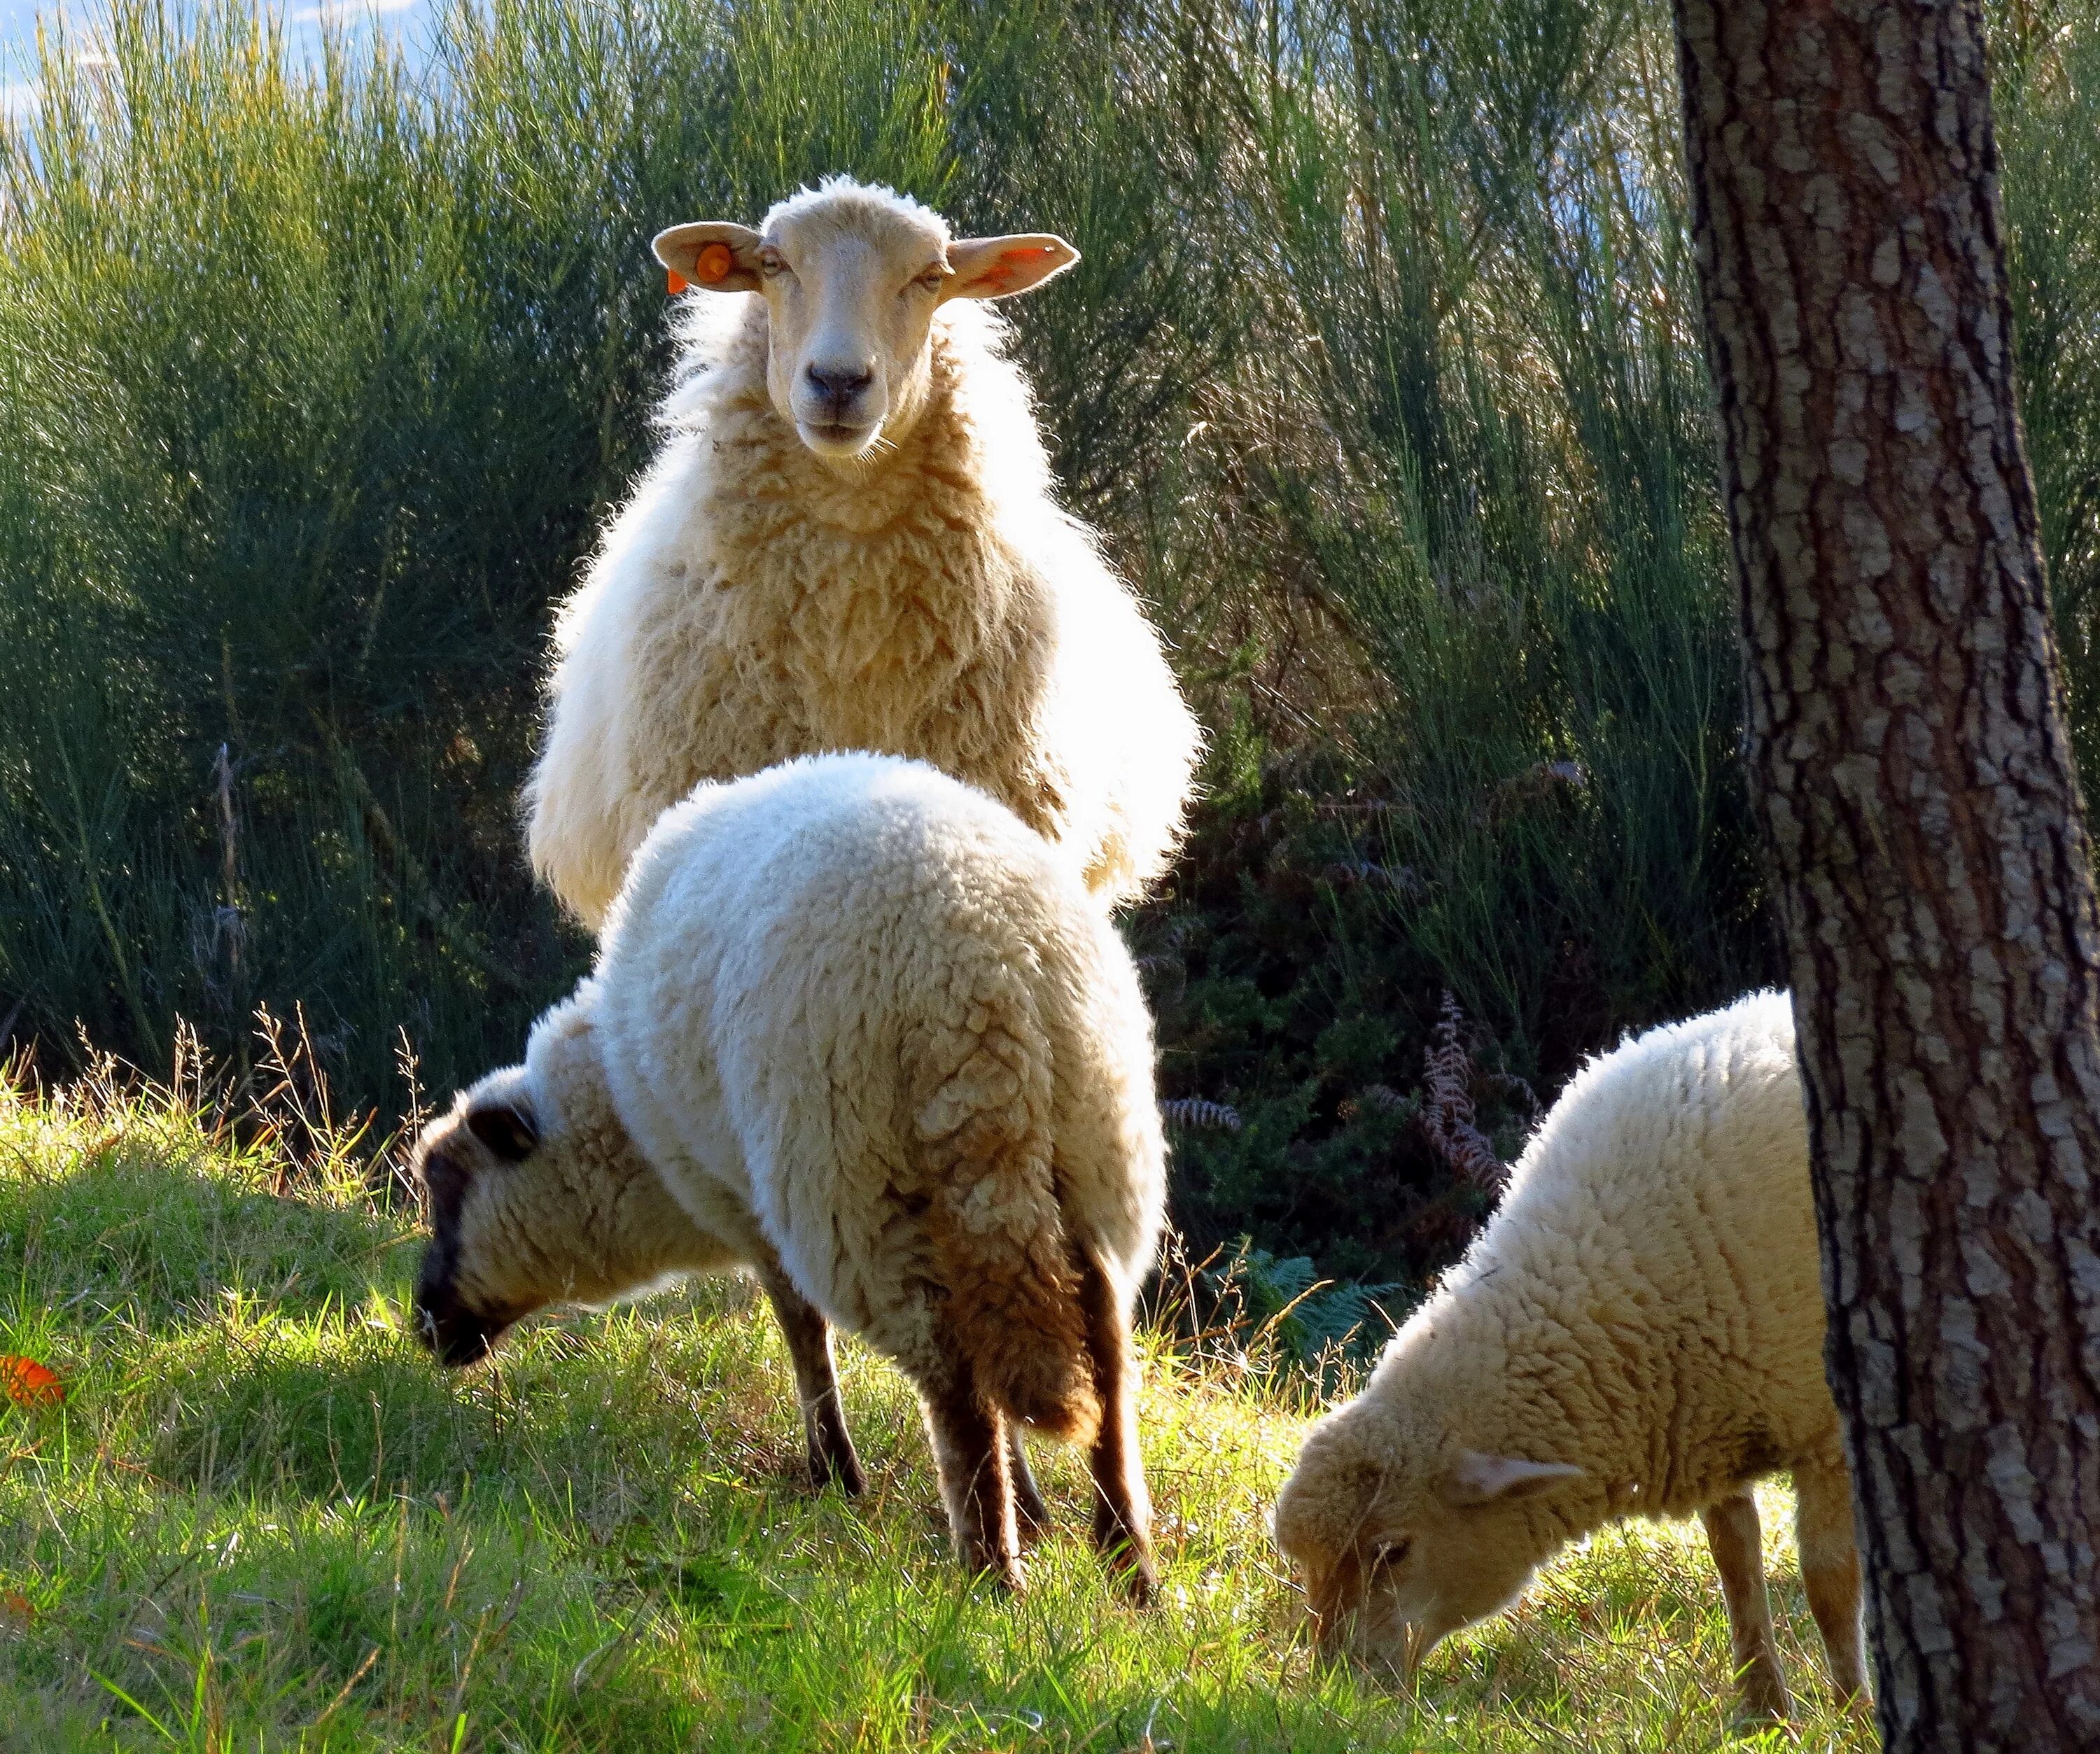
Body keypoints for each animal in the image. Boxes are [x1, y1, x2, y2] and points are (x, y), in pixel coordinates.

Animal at [414, 756, 1168, 1604]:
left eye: (447, 1193)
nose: (424, 1322)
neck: (623, 1119)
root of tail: (982, 980)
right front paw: (1033, 1508)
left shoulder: (752, 1203)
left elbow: (803, 1332)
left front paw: (834, 1474)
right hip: (1092, 1163)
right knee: (1107, 1367)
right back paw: (1128, 1567)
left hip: (853, 1183)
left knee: (954, 1389)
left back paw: (988, 1576)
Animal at [1268, 995, 1865, 1722]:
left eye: (1396, 1551)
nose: (1339, 1687)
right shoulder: (1715, 1418)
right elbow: (1737, 1565)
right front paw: (1763, 1711)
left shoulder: (1827, 1435)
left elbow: (1830, 1582)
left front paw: (1852, 1713)